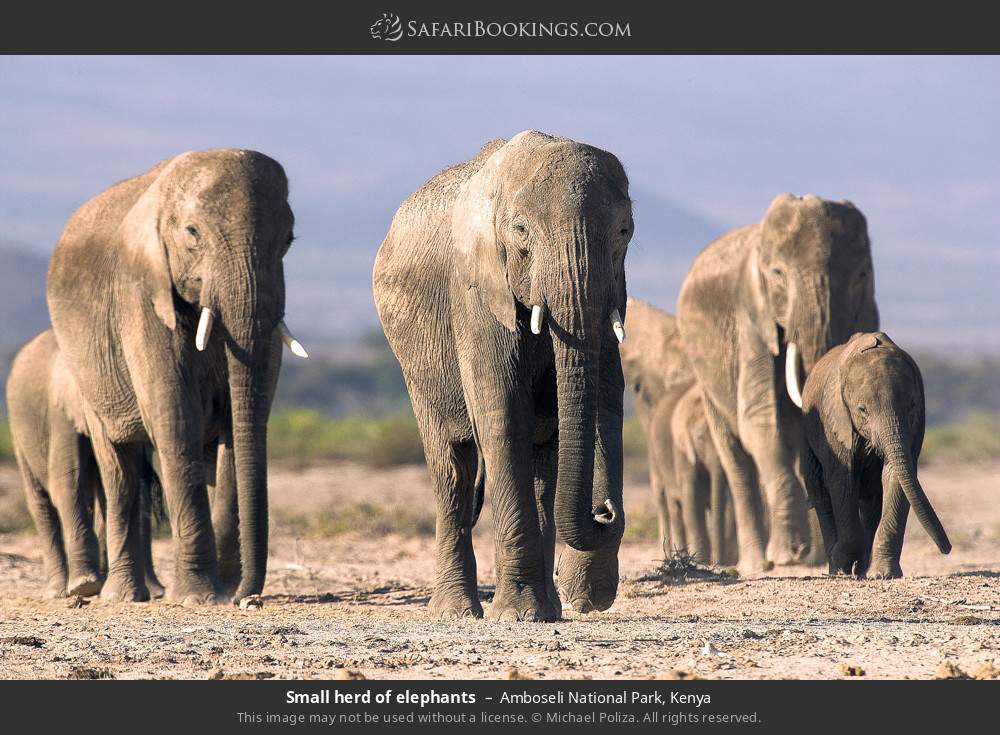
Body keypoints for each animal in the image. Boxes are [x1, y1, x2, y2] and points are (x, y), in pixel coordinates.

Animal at [6, 330, 164, 599]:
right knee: (40, 500)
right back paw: (60, 591)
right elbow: (67, 481)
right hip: (19, 433)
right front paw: (85, 586)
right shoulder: (61, 413)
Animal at [46, 149, 306, 604]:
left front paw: (225, 587)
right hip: (87, 372)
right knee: (118, 466)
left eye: (289, 240)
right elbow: (178, 419)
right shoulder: (141, 297)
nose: (248, 598)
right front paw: (201, 598)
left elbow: (239, 424)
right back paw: (122, 596)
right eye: (192, 232)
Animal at [373, 131, 632, 621]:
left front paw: (570, 601)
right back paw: (456, 611)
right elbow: (504, 417)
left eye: (624, 232)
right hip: (414, 362)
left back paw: (544, 608)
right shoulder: (475, 292)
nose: (604, 510)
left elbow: (605, 402)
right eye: (521, 232)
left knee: (543, 463)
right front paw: (516, 616)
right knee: (452, 468)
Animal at [801, 331, 951, 578]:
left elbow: (895, 475)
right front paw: (842, 564)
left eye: (911, 405)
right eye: (862, 410)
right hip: (807, 432)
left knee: (870, 499)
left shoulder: (916, 422)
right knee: (820, 491)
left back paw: (861, 570)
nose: (947, 549)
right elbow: (842, 479)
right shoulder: (835, 420)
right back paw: (836, 568)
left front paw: (884, 575)